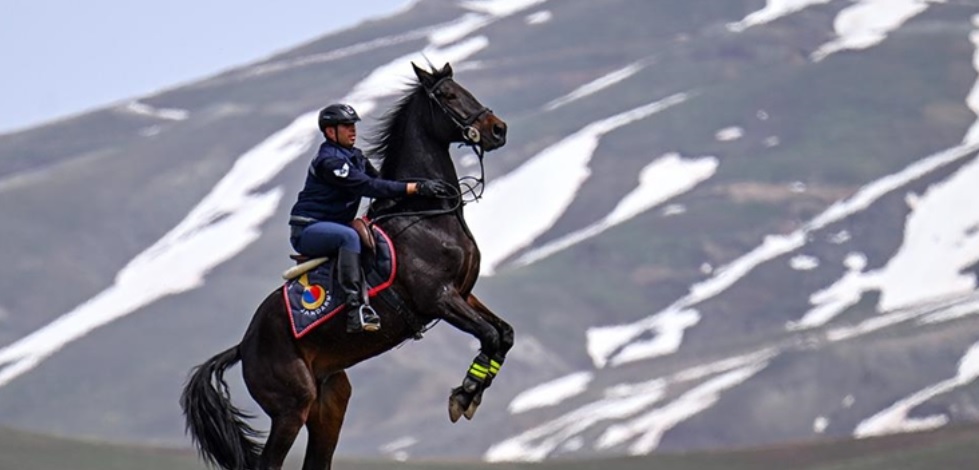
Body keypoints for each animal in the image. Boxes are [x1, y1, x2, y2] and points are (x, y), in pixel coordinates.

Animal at [180, 63, 512, 470]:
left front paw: (471, 393)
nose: (498, 130)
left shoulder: (463, 294)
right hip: (291, 408)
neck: (429, 216)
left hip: (329, 403)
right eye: (448, 95)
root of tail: (244, 345)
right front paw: (464, 395)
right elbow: (490, 335)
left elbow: (504, 334)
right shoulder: (439, 299)